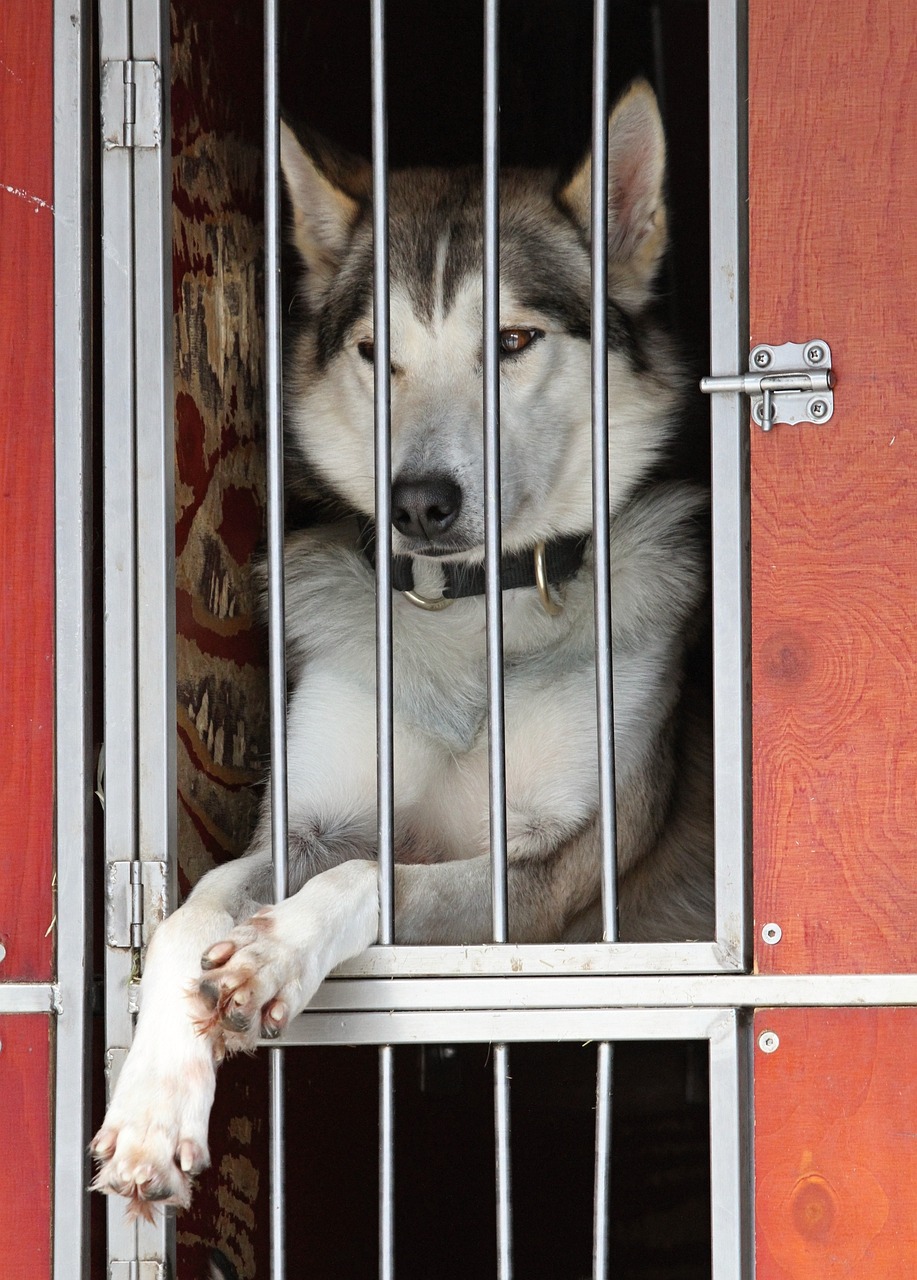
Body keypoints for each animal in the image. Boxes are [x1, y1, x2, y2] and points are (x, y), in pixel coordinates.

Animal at [92, 82, 712, 1218]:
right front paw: (155, 1107)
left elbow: (378, 875)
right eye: (377, 352)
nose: (419, 501)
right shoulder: (302, 818)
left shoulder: (555, 872)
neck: (465, 618)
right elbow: (184, 915)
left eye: (511, 339)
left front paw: (271, 955)